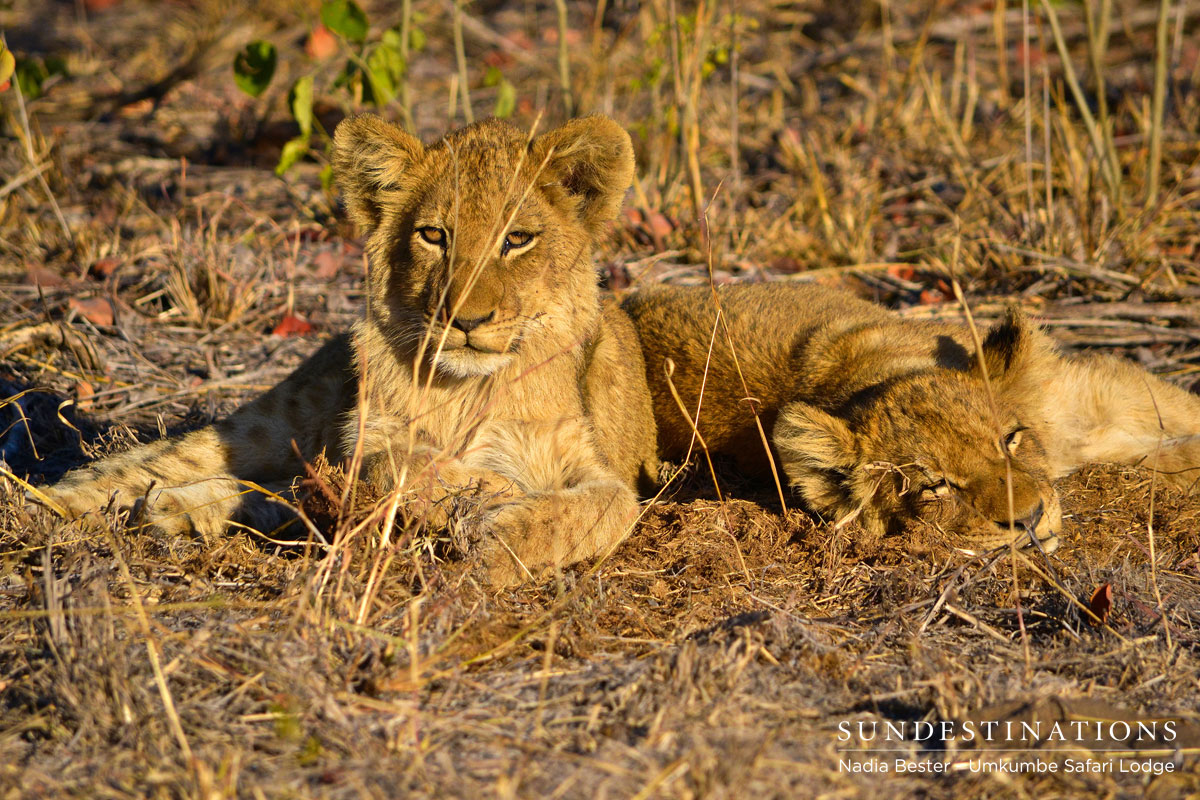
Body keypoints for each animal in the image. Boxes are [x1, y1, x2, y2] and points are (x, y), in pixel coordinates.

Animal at [34, 114, 660, 585]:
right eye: (434, 236)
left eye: (518, 239)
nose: (465, 321)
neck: (467, 388)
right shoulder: (368, 436)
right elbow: (398, 464)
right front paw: (491, 494)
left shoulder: (599, 467)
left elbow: (598, 509)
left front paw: (498, 537)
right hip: (271, 420)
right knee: (145, 467)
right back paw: (47, 507)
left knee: (276, 490)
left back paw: (170, 511)